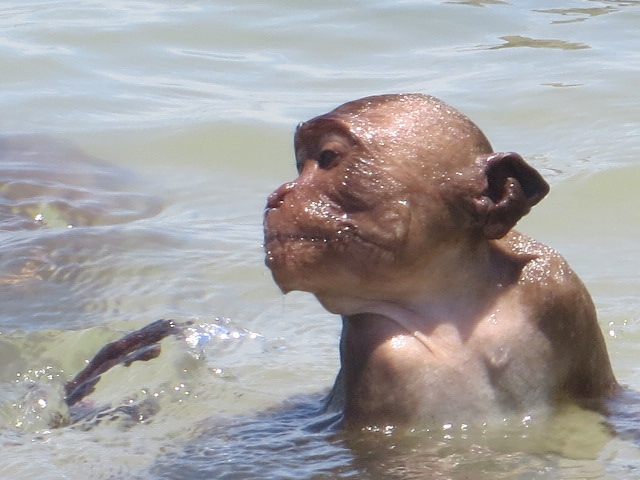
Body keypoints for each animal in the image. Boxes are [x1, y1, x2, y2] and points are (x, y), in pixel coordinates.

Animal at [263, 93, 619, 429]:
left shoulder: (559, 290)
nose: (276, 196)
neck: (458, 310)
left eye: (327, 158)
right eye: (300, 165)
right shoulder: (386, 356)